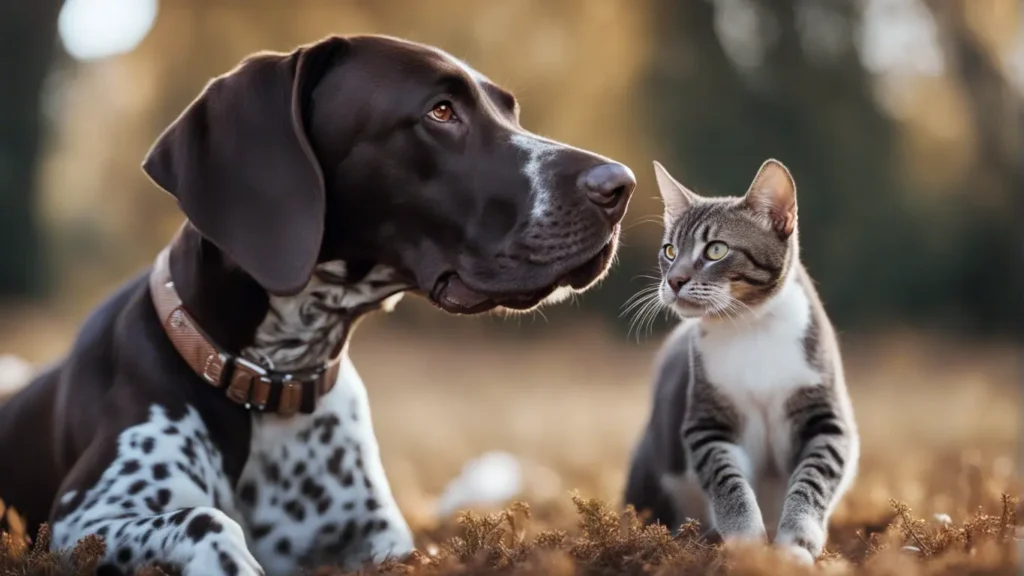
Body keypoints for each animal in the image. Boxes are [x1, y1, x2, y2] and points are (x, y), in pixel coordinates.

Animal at [0, 35, 630, 573]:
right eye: (441, 111)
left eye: (510, 113)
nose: (620, 184)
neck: (274, 376)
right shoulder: (82, 522)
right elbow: (208, 521)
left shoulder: (383, 543)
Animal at [622, 158, 856, 561]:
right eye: (669, 251)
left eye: (716, 250)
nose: (674, 280)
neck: (749, 326)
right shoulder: (707, 421)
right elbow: (728, 481)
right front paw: (747, 543)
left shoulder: (826, 417)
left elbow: (814, 477)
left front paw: (796, 542)